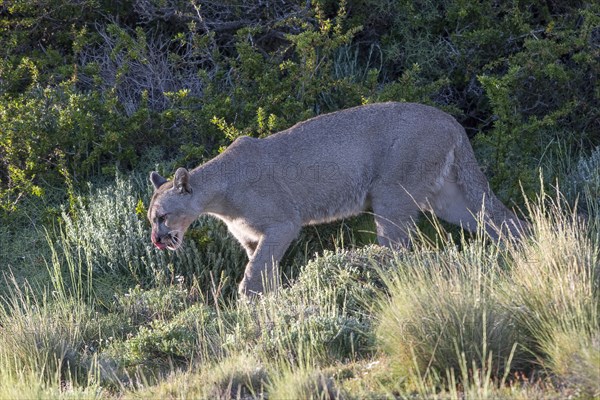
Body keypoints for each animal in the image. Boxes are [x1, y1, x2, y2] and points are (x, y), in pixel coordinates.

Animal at [148, 102, 524, 296]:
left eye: (162, 217)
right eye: (152, 219)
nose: (156, 239)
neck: (218, 193)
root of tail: (451, 120)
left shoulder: (283, 225)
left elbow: (256, 269)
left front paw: (249, 301)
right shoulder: (254, 238)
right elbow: (264, 267)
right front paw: (271, 303)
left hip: (391, 194)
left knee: (398, 250)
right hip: (446, 198)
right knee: (498, 219)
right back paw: (524, 252)